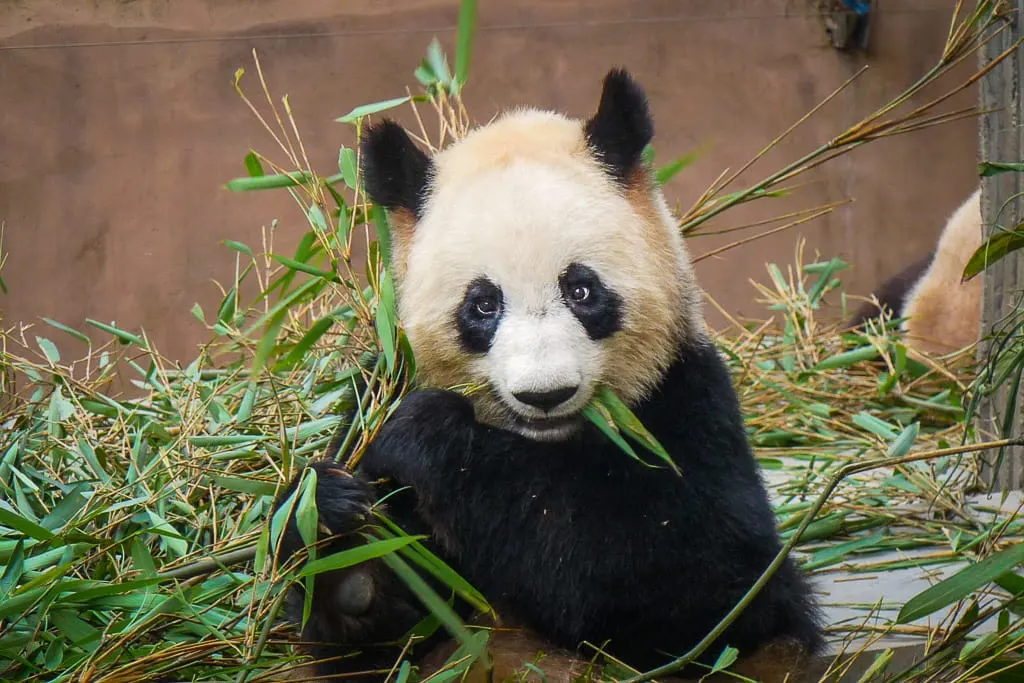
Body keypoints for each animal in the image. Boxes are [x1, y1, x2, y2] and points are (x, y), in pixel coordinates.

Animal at [272, 69, 823, 683]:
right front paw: (333, 529)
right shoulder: (377, 395)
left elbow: (689, 579)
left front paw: (427, 433)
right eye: (483, 305)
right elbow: (379, 641)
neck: (537, 448)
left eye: (581, 290)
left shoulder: (687, 404)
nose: (545, 394)